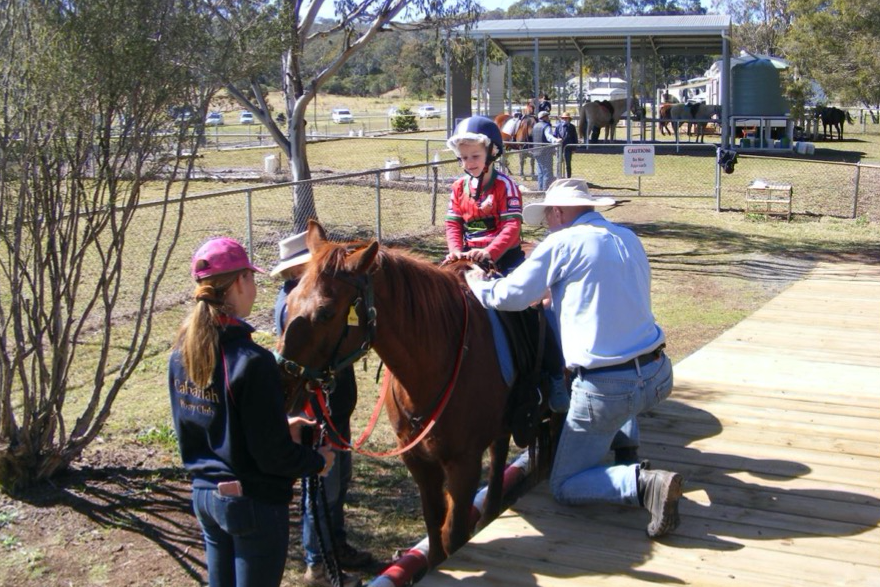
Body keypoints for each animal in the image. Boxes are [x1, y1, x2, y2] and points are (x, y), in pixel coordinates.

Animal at [278, 223, 516, 568]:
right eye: (292, 299)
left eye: (325, 313)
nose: (284, 381)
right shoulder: (417, 460)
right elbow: (435, 529)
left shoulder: (464, 463)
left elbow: (453, 533)